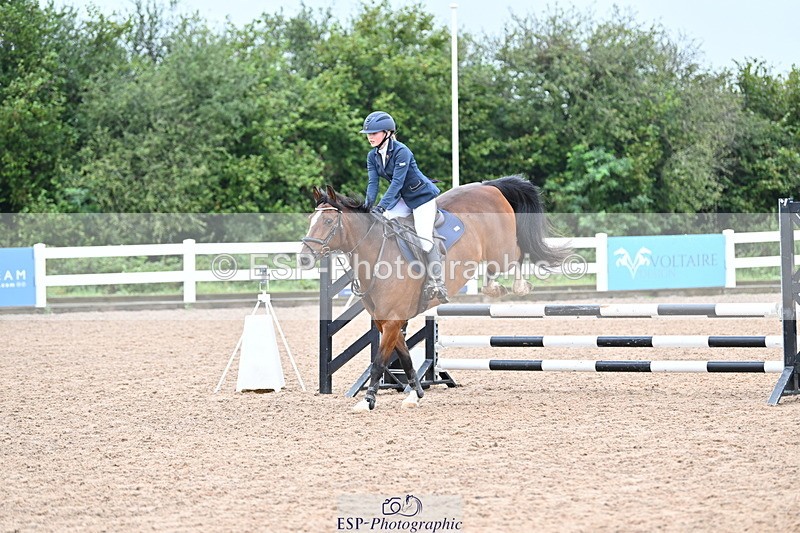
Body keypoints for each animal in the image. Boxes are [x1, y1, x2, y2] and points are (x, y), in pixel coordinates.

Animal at [299, 175, 567, 412]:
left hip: (502, 249)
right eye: (311, 219)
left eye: (329, 222)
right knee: (496, 266)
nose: (304, 258)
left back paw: (517, 285)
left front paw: (367, 401)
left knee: (517, 255)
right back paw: (493, 287)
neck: (376, 253)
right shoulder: (386, 322)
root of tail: (488, 186)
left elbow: (378, 363)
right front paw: (415, 395)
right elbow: (405, 359)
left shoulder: (393, 320)